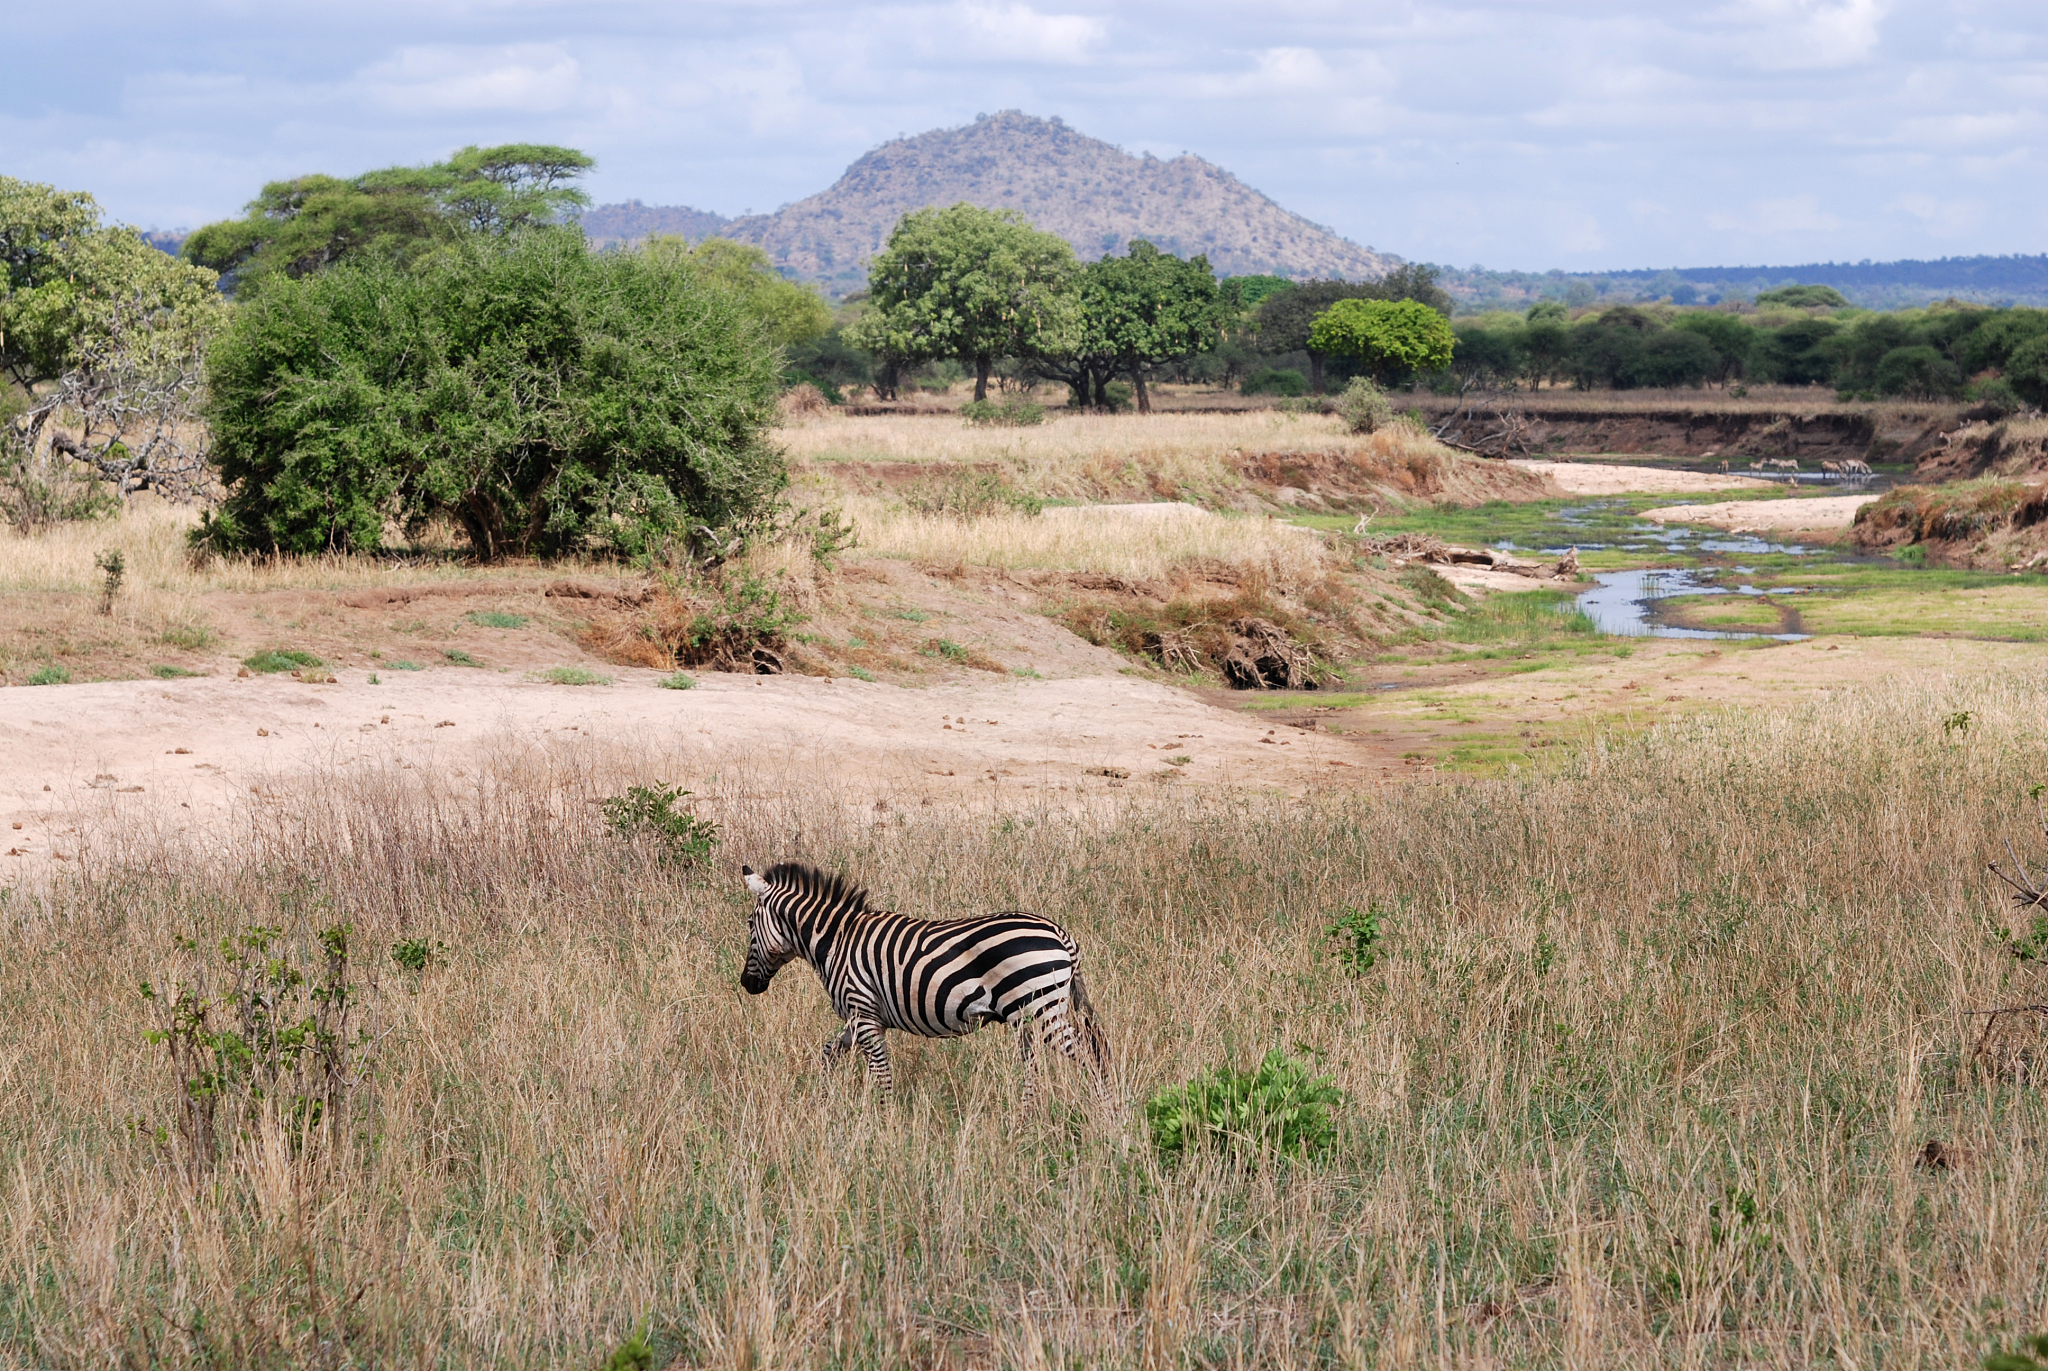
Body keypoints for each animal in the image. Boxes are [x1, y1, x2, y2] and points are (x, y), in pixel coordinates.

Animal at [738, 862, 1109, 1099]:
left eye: (749, 924)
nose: (746, 984)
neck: (836, 940)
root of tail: (1060, 934)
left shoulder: (864, 1013)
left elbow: (882, 1076)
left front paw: (884, 1127)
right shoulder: (860, 1016)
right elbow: (828, 1054)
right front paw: (821, 1099)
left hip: (1042, 1009)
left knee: (1090, 1057)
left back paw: (1108, 1116)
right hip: (1029, 1015)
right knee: (1038, 1068)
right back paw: (1026, 1120)